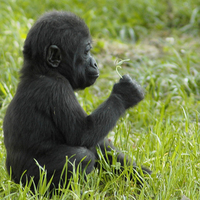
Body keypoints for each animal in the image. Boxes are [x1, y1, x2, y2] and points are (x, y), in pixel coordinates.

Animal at [3, 10, 151, 191]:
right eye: (86, 52)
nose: (95, 63)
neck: (42, 70)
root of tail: (14, 179)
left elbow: (98, 143)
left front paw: (142, 174)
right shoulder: (56, 88)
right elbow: (82, 134)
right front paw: (125, 93)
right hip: (28, 180)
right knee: (81, 155)